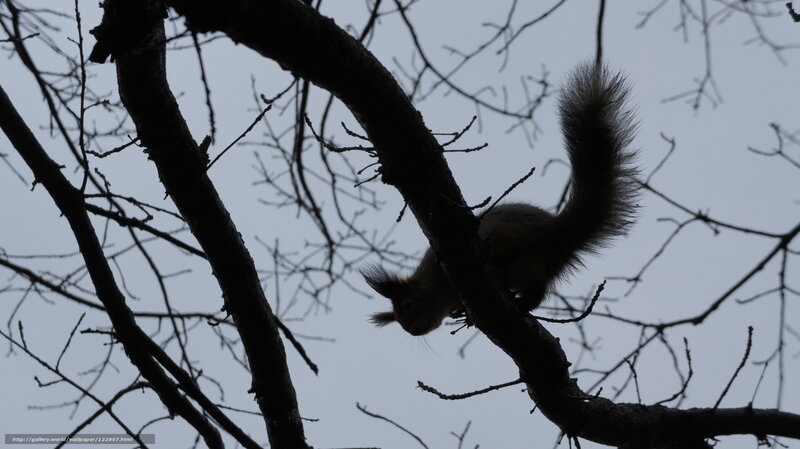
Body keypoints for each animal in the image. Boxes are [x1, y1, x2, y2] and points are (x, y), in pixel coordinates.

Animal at [362, 63, 638, 336]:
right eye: (399, 321)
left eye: (408, 304)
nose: (414, 331)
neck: (443, 293)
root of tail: (559, 231)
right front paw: (462, 313)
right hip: (544, 269)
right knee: (537, 295)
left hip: (508, 234)